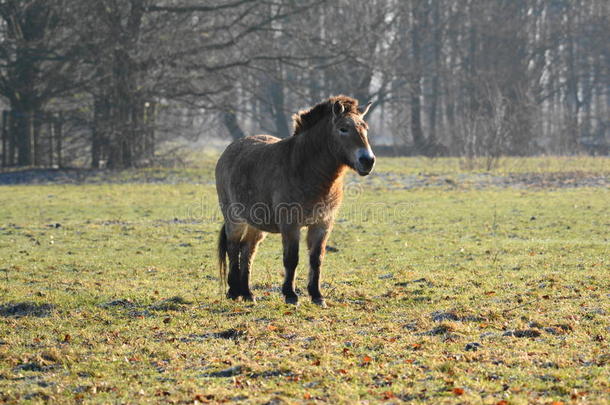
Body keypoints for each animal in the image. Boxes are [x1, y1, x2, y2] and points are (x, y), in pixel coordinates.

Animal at [214, 95, 376, 306]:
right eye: (343, 128)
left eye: (365, 128)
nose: (368, 161)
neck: (305, 168)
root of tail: (229, 150)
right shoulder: (290, 224)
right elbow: (291, 259)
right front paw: (290, 295)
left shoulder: (323, 223)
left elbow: (316, 259)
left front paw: (317, 296)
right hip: (234, 219)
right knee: (233, 248)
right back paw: (234, 292)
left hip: (256, 224)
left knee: (247, 250)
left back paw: (248, 294)